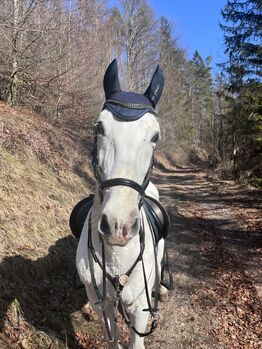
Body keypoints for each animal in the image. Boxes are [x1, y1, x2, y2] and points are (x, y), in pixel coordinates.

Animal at [75, 60, 168, 348]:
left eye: (155, 136)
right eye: (99, 127)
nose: (118, 226)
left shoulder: (139, 309)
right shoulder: (101, 304)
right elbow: (112, 338)